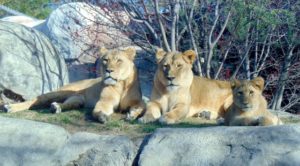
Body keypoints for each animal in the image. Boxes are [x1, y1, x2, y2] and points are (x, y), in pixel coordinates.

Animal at [3, 47, 145, 122]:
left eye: (119, 61)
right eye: (105, 60)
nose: (108, 70)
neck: (121, 85)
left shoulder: (138, 102)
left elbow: (139, 108)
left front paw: (132, 115)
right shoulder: (106, 101)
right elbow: (98, 110)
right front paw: (102, 116)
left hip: (77, 100)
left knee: (65, 104)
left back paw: (56, 107)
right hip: (58, 93)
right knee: (35, 100)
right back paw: (9, 107)